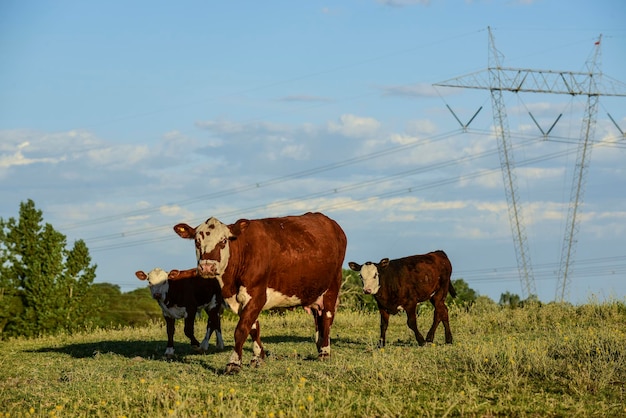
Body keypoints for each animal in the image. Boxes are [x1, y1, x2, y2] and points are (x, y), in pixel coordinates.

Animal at [172, 211, 346, 374]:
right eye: (197, 241)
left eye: (223, 240)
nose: (207, 267)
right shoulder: (241, 299)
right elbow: (253, 327)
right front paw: (257, 357)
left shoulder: (257, 295)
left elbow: (242, 329)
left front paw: (234, 363)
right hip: (314, 291)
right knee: (319, 318)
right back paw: (320, 345)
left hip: (333, 285)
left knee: (327, 317)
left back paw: (324, 352)